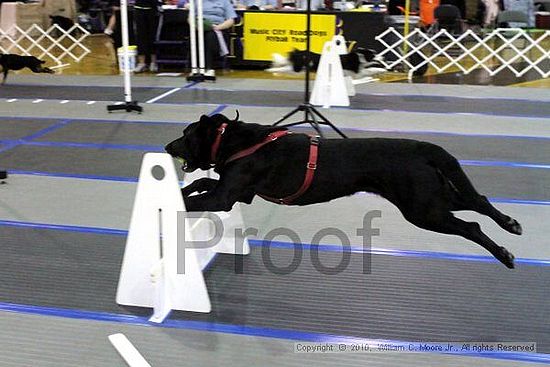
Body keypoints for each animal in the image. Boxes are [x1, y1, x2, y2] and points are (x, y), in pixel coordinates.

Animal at [166, 113, 524, 268]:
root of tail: (421, 148)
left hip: (423, 209)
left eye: (186, 133)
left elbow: (197, 196)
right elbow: (201, 183)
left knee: (471, 225)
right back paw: (511, 224)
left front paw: (175, 200)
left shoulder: (227, 197)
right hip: (431, 196)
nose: (168, 146)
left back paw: (504, 255)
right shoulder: (238, 192)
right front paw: (186, 189)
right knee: (478, 200)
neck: (236, 142)